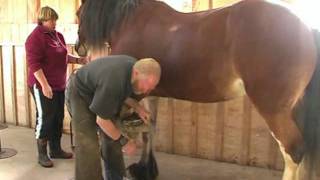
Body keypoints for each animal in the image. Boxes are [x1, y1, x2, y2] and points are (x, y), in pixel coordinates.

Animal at [75, 0, 320, 180]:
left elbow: (140, 132)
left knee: (293, 151)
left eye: (78, 13)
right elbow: (150, 129)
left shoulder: (136, 94)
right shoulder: (151, 94)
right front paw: (147, 169)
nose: (78, 48)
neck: (130, 22)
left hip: (273, 110)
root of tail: (305, 27)